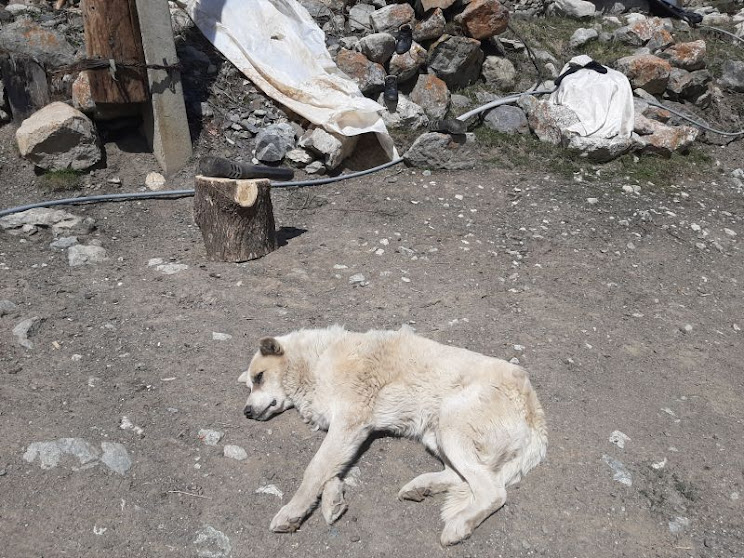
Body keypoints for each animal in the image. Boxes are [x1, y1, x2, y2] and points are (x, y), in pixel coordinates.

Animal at [238, 326, 548, 548]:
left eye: (259, 377)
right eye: (250, 384)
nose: (246, 412)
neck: (313, 362)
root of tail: (536, 413)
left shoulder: (349, 423)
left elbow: (314, 470)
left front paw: (293, 512)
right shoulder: (346, 432)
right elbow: (330, 471)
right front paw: (333, 500)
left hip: (450, 425)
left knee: (493, 491)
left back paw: (459, 526)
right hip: (436, 433)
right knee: (462, 476)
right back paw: (421, 487)